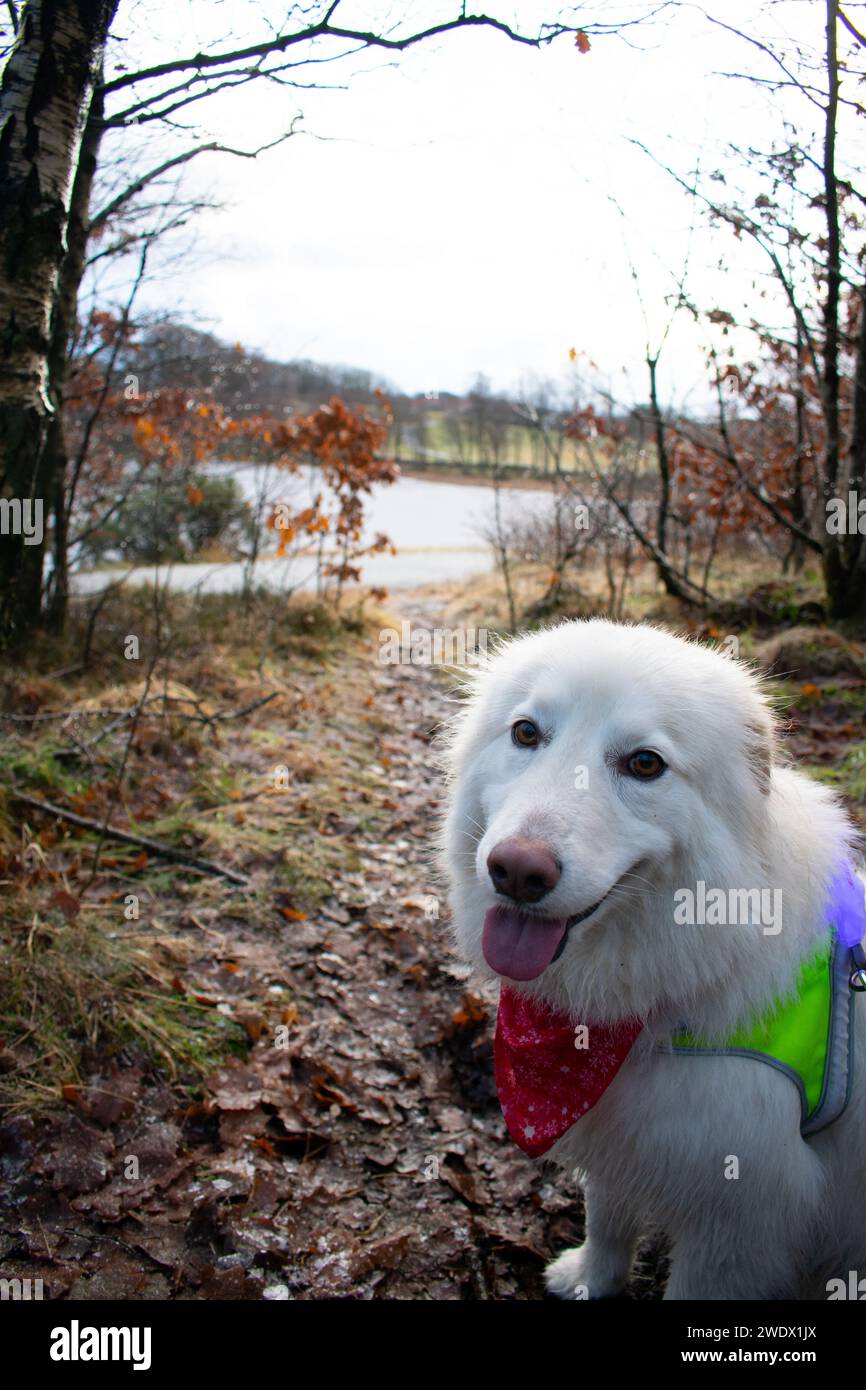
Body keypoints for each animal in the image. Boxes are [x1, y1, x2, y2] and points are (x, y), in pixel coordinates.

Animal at [444, 622, 861, 1301]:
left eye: (645, 764)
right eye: (526, 733)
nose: (516, 871)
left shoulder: (736, 1223)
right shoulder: (622, 1142)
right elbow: (608, 1222)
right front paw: (590, 1282)